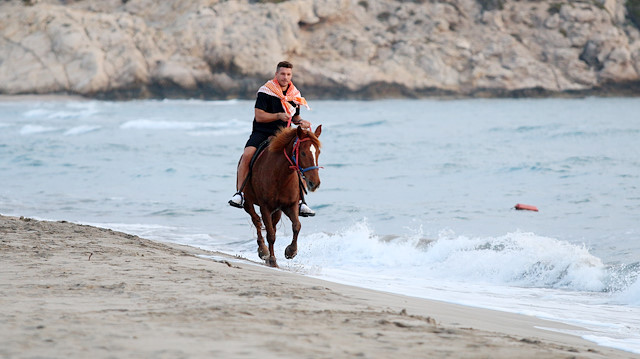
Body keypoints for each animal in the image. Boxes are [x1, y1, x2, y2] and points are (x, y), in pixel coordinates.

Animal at [242, 124, 322, 268]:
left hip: (277, 211)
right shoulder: (265, 207)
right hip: (248, 202)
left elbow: (296, 226)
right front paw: (272, 259)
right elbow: (270, 235)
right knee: (256, 221)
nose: (315, 183)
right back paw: (263, 250)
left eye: (318, 152)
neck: (280, 175)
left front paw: (291, 251)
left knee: (270, 225)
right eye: (303, 153)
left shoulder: (290, 205)